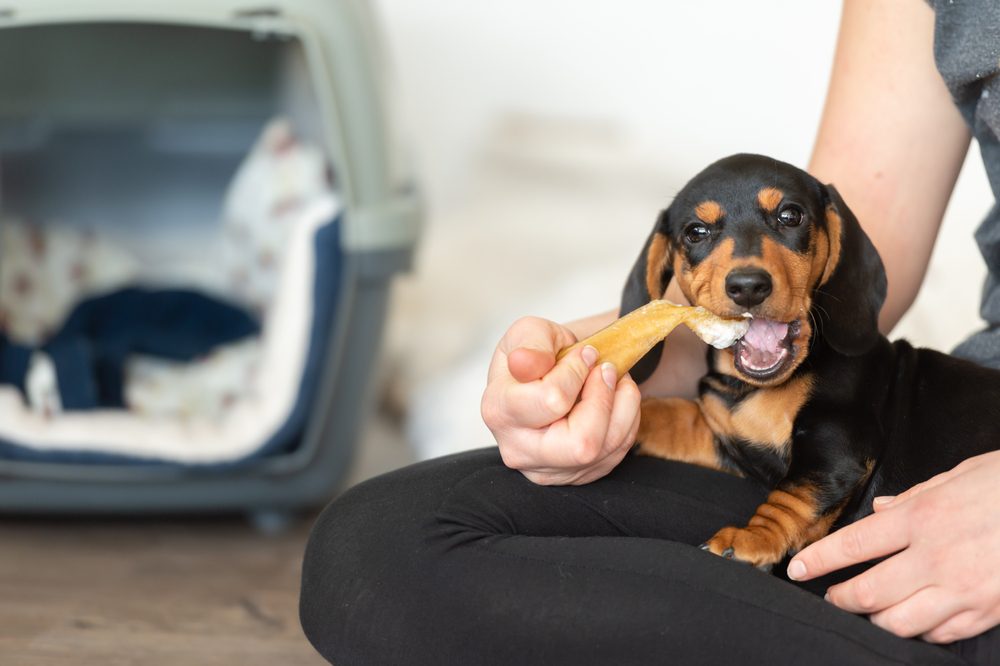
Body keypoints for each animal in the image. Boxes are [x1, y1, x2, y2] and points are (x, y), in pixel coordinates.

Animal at [624, 153, 1000, 568]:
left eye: (790, 215)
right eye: (696, 232)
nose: (748, 286)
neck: (750, 388)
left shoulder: (840, 439)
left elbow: (795, 495)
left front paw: (752, 537)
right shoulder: (732, 441)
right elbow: (676, 417)